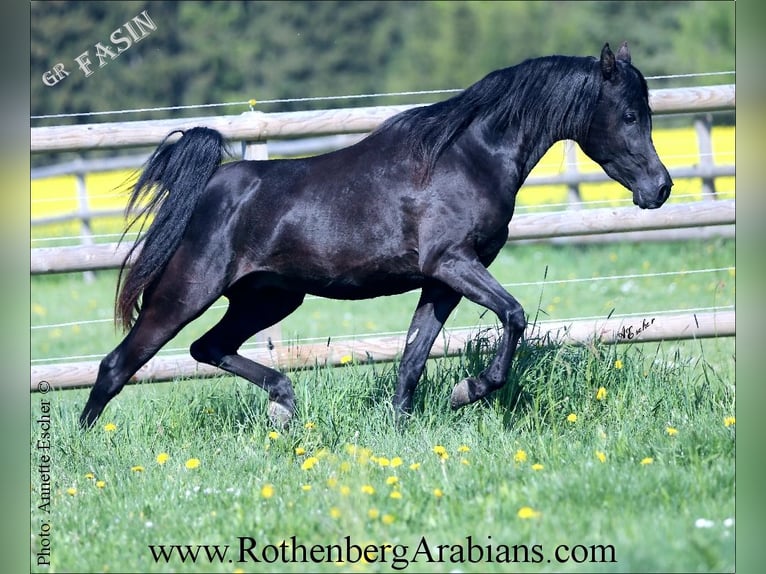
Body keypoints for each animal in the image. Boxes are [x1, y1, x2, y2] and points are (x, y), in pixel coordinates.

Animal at [81, 42, 672, 430]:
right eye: (628, 114)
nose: (660, 188)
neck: (467, 158)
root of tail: (210, 186)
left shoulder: (443, 281)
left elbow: (412, 359)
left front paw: (402, 427)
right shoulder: (452, 263)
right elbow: (514, 314)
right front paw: (469, 391)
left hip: (269, 298)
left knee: (209, 347)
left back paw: (284, 402)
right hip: (187, 292)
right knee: (117, 365)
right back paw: (83, 454)